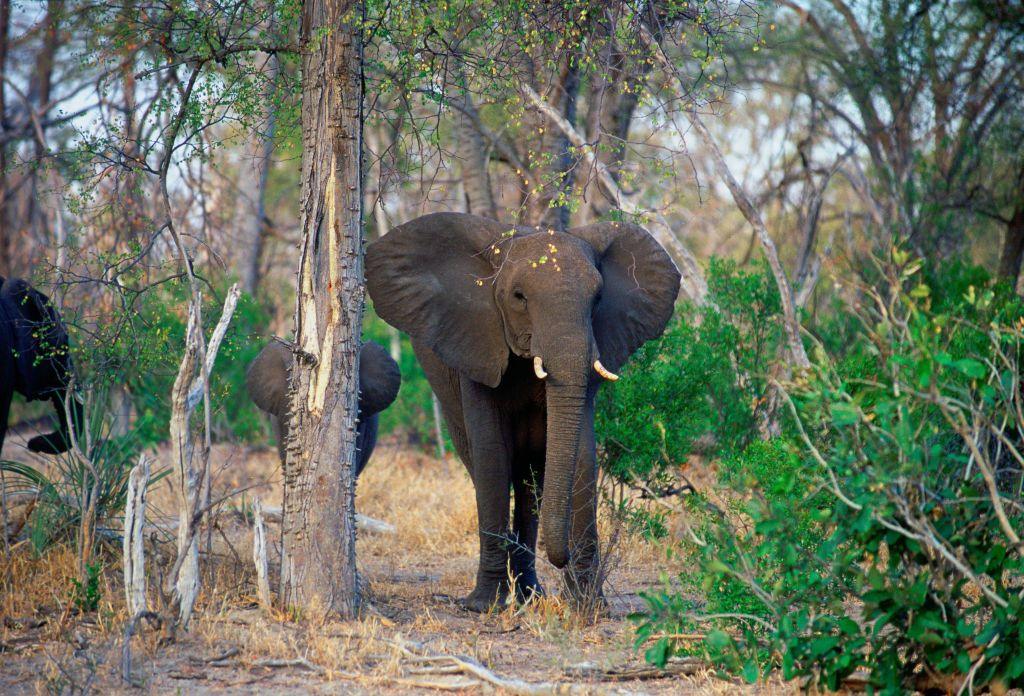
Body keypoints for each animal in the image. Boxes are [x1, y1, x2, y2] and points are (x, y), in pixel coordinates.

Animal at [366, 211, 679, 610]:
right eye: (519, 297)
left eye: (597, 299)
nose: (559, 557)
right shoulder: (477, 341)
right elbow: (491, 456)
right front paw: (486, 604)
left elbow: (581, 455)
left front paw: (587, 606)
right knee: (486, 465)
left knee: (531, 479)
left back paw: (531, 594)